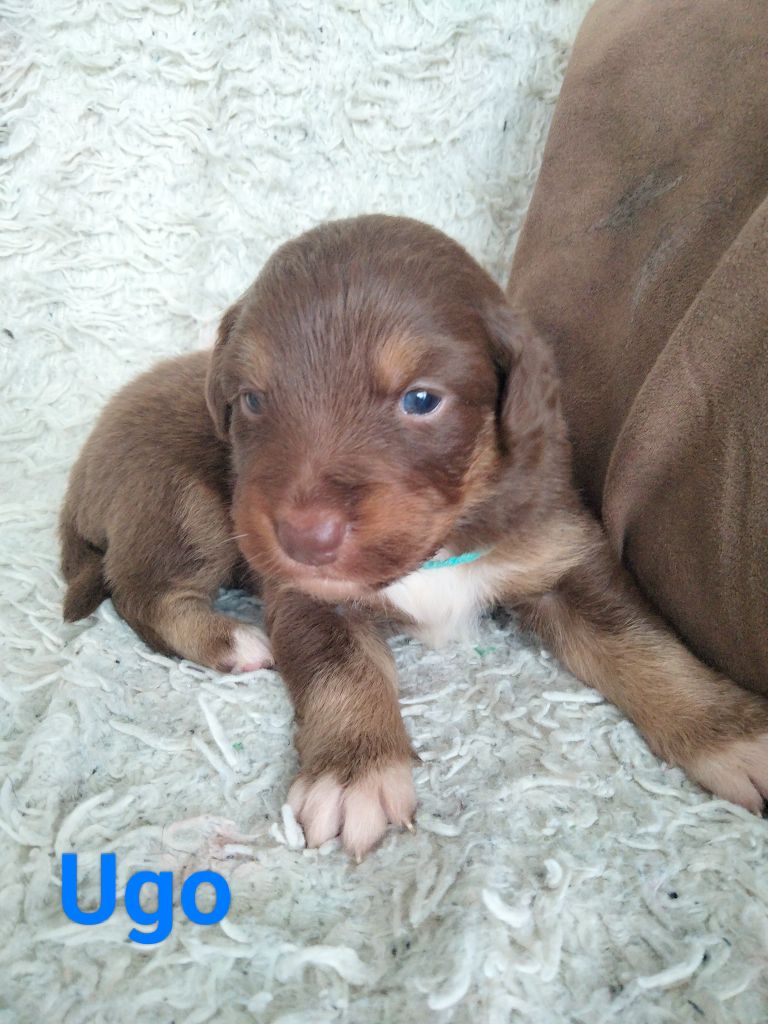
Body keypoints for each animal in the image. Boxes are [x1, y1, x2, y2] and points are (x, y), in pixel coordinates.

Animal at [60, 214, 768, 860]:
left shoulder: (563, 554)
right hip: (186, 501)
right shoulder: (306, 595)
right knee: (142, 594)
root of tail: (82, 463)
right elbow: (342, 671)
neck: (435, 551)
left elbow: (648, 648)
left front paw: (729, 734)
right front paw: (356, 771)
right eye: (255, 400)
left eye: (421, 400)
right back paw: (230, 640)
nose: (304, 537)